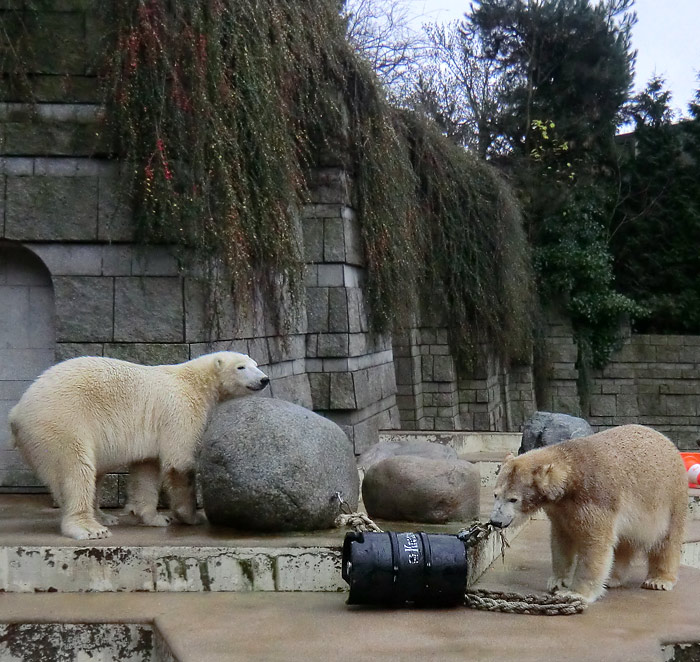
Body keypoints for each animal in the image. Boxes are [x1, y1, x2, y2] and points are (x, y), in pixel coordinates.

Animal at [8, 352, 270, 540]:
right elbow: (180, 463)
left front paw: (154, 517)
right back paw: (91, 528)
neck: (195, 381)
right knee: (76, 468)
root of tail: (17, 410)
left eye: (255, 364)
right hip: (63, 422)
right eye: (241, 367)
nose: (264, 379)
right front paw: (190, 516)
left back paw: (104, 517)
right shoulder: (181, 411)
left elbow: (147, 469)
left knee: (94, 472)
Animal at [490, 426, 688, 608]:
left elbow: (595, 543)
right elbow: (562, 540)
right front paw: (557, 581)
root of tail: (668, 441)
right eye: (495, 494)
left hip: (669, 498)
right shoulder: (560, 510)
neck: (572, 473)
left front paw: (575, 593)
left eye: (513, 499)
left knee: (666, 539)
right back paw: (612, 578)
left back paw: (658, 580)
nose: (495, 521)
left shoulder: (596, 499)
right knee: (624, 542)